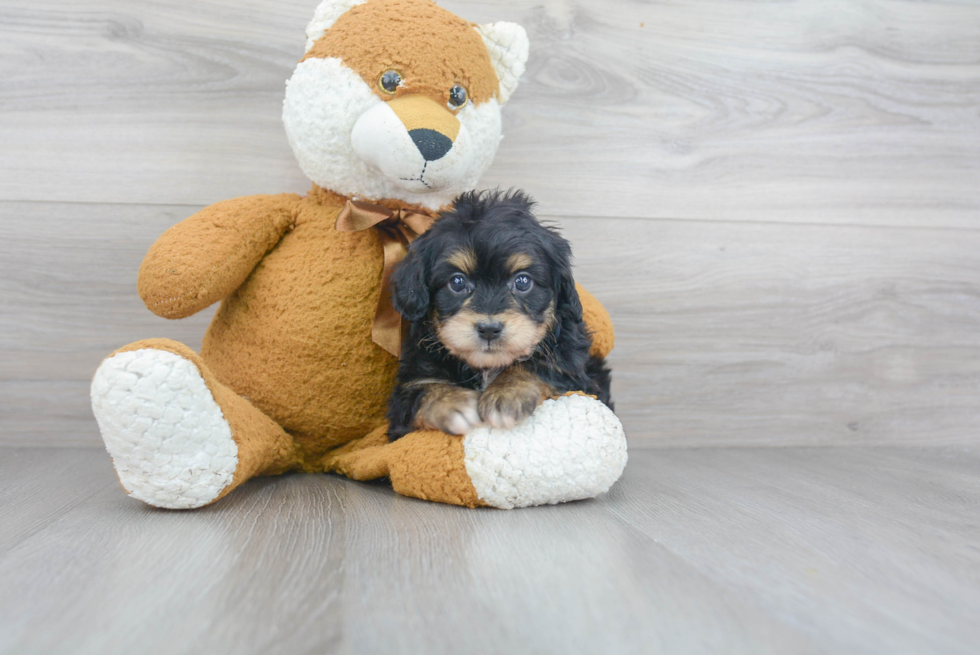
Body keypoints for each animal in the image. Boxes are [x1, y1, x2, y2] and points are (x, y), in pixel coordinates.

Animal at [384, 190, 608, 440]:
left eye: (523, 282)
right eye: (457, 282)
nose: (489, 329)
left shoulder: (574, 372)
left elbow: (536, 365)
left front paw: (506, 393)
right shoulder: (407, 390)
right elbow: (421, 390)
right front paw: (453, 402)